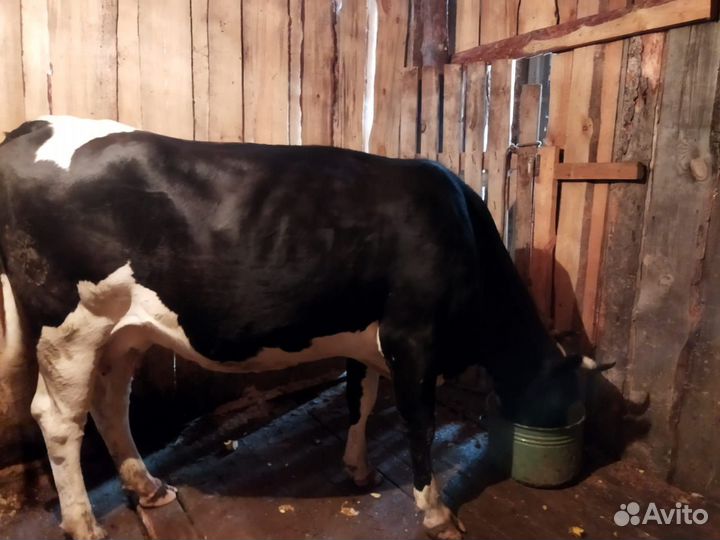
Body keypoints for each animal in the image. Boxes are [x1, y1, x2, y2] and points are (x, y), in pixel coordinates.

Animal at [0, 116, 599, 540]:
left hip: (123, 329)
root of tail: (31, 127)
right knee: (57, 418)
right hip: (68, 325)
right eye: (567, 397)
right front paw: (435, 512)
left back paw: (147, 488)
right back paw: (83, 523)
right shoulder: (413, 337)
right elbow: (419, 422)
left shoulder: (367, 339)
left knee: (108, 403)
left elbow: (360, 400)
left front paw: (358, 468)